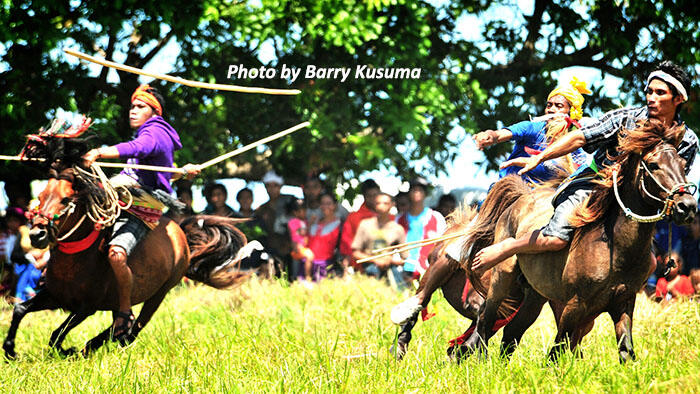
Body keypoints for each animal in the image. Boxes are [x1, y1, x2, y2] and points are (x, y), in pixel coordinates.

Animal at [2, 135, 253, 358]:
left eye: (65, 199)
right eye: (41, 196)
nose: (37, 234)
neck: (76, 261)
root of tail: (180, 232)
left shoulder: (86, 307)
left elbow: (56, 335)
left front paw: (68, 351)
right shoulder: (54, 295)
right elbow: (20, 310)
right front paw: (10, 350)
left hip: (160, 292)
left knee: (133, 327)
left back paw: (93, 346)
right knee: (122, 326)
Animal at [460, 120, 696, 364]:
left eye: (682, 164)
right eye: (653, 164)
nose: (686, 206)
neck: (615, 250)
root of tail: (521, 197)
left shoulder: (624, 303)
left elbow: (625, 350)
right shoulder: (575, 304)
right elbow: (558, 349)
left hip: (534, 294)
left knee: (511, 332)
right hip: (502, 280)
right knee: (485, 321)